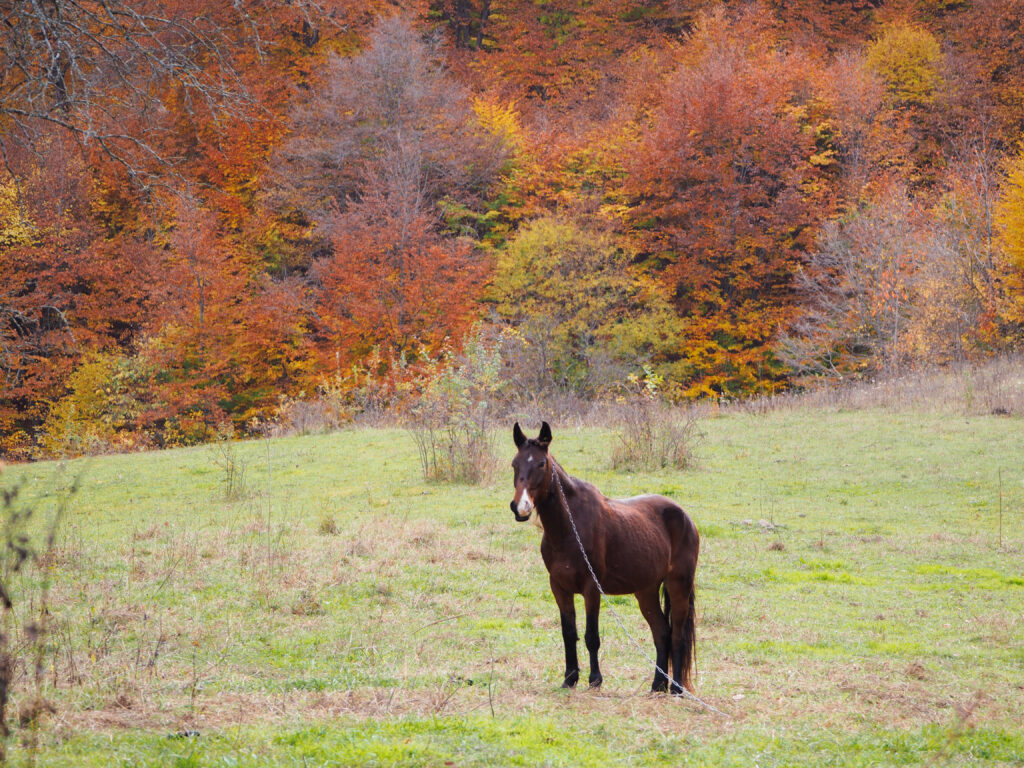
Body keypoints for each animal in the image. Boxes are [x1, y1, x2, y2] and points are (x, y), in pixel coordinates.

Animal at [507, 423, 700, 696]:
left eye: (542, 463)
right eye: (515, 464)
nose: (520, 507)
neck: (569, 527)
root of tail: (685, 517)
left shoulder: (591, 588)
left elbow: (591, 636)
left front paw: (595, 680)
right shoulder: (559, 588)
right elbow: (569, 633)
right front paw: (570, 678)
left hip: (678, 585)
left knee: (677, 635)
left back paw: (676, 689)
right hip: (646, 591)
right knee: (661, 633)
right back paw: (657, 686)